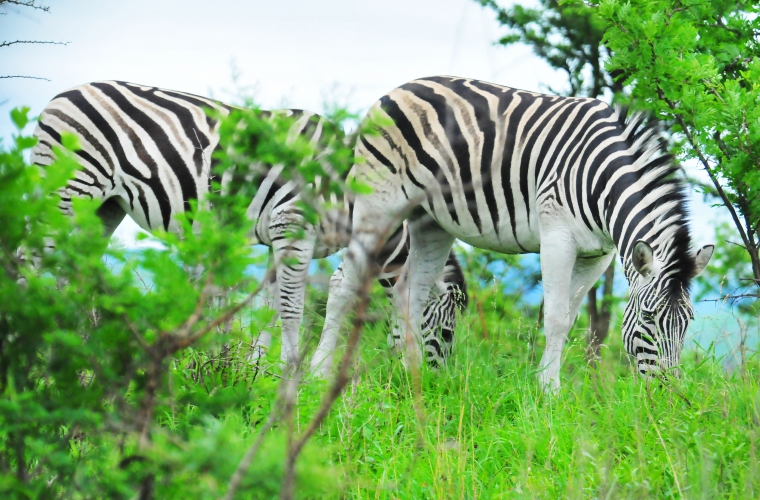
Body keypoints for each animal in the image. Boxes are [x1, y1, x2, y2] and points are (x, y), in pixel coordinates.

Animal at [29, 79, 466, 376]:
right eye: (447, 335)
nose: (438, 386)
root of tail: (60, 96)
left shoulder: (278, 238)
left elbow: (270, 309)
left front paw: (259, 372)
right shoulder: (291, 225)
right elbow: (291, 309)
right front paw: (290, 373)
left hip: (102, 207)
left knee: (70, 274)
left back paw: (71, 355)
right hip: (67, 190)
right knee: (31, 261)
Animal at [320, 76, 712, 392]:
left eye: (688, 321)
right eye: (648, 317)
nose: (668, 392)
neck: (603, 183)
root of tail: (399, 88)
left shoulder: (598, 255)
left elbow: (570, 319)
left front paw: (546, 387)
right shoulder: (557, 237)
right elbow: (554, 318)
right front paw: (548, 393)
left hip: (431, 222)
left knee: (408, 292)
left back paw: (410, 374)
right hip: (377, 203)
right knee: (343, 285)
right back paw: (318, 373)